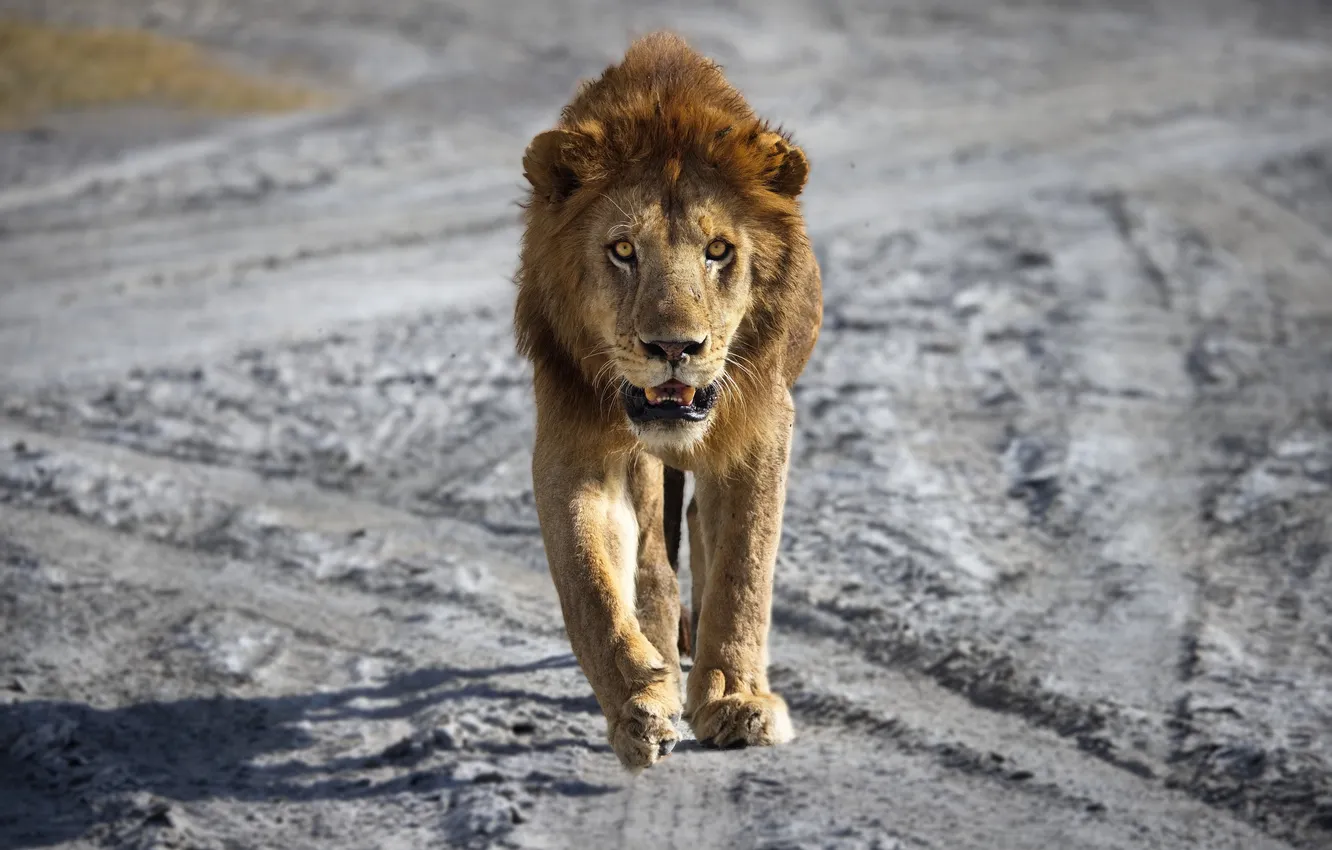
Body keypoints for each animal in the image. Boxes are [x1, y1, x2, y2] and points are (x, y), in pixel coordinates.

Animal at [514, 31, 822, 769]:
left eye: (719, 251)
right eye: (624, 249)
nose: (675, 346)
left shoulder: (760, 429)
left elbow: (744, 568)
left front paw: (737, 700)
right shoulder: (576, 441)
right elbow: (591, 582)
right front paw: (639, 708)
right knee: (652, 558)